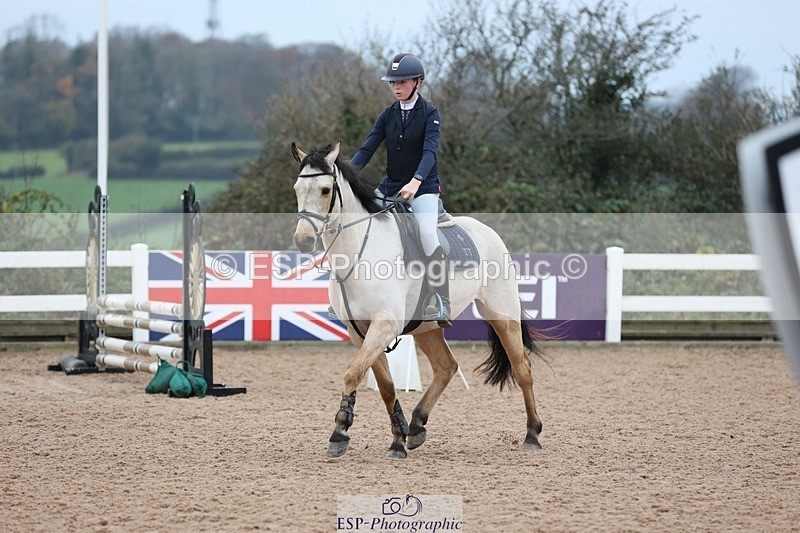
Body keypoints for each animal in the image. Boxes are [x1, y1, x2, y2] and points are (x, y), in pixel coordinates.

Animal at [291, 141, 544, 459]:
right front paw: (397, 436)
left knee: (522, 368)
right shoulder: (359, 329)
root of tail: (487, 231)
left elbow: (352, 373)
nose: (303, 241)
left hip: (502, 314)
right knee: (446, 367)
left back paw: (532, 434)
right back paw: (417, 425)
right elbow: (385, 385)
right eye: (296, 189)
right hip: (427, 327)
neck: (361, 251)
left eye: (325, 190)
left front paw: (339, 432)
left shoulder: (384, 324)